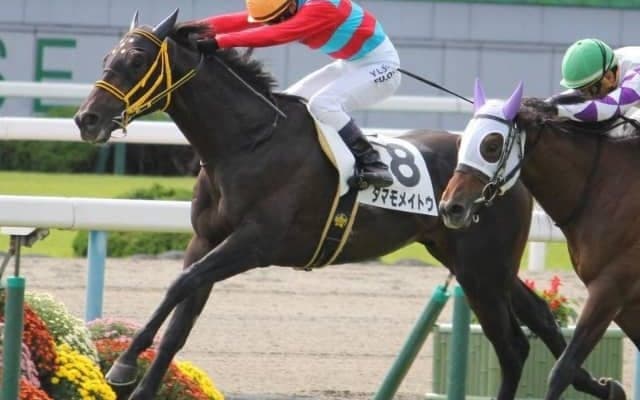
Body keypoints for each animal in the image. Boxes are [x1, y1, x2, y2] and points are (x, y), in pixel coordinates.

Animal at [439, 79, 633, 400]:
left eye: (491, 146)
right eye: (459, 143)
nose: (450, 208)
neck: (607, 186)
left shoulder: (610, 287)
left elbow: (562, 370)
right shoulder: (626, 299)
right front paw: (609, 389)